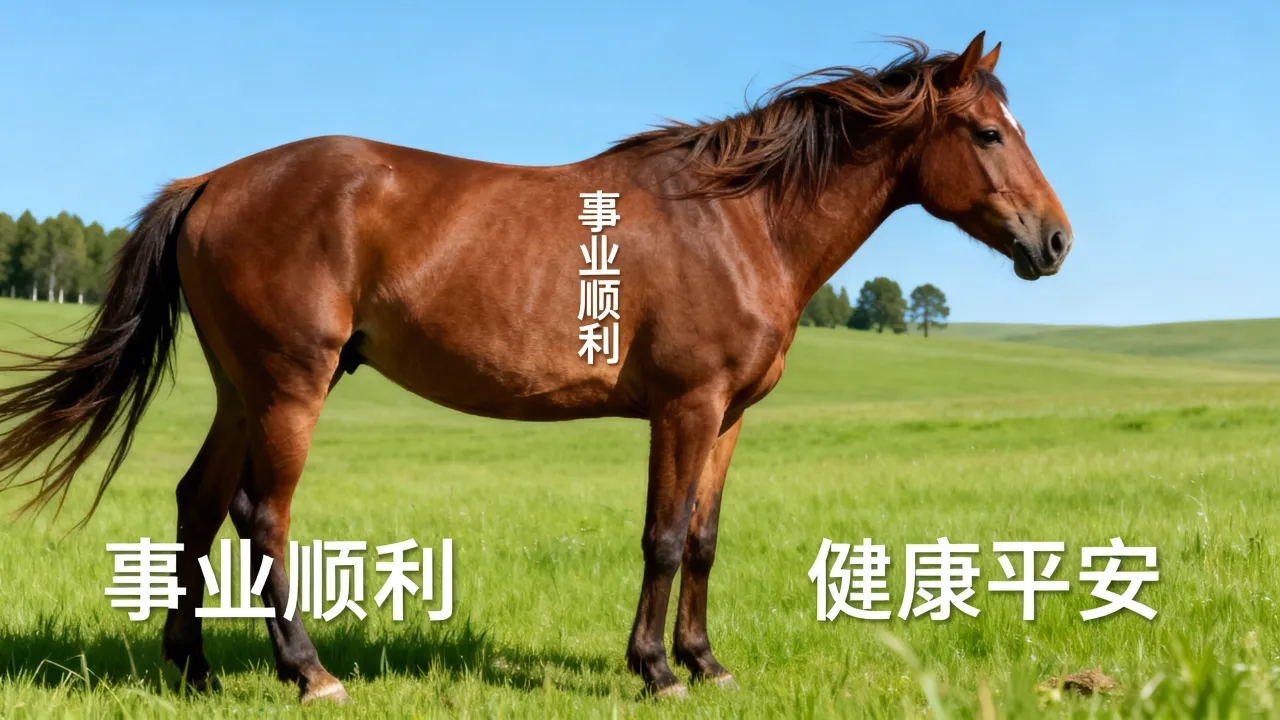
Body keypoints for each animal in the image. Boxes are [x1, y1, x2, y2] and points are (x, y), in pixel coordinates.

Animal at [0, 32, 1070, 703]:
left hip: (242, 388)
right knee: (261, 516)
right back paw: (308, 673)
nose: (1055, 241)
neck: (739, 221)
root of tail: (213, 180)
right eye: (987, 133)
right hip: (289, 387)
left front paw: (707, 661)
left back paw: (194, 670)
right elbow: (663, 539)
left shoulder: (728, 417)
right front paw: (657, 671)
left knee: (196, 501)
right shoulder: (685, 408)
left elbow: (705, 540)